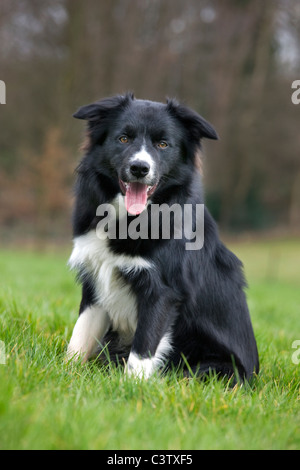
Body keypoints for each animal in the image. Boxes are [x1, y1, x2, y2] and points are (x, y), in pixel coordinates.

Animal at [67, 92, 258, 382]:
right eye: (123, 138)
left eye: (163, 144)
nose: (139, 168)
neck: (131, 219)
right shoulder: (96, 278)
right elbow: (80, 336)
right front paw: (65, 372)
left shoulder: (163, 291)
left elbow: (142, 349)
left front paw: (132, 387)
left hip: (214, 369)